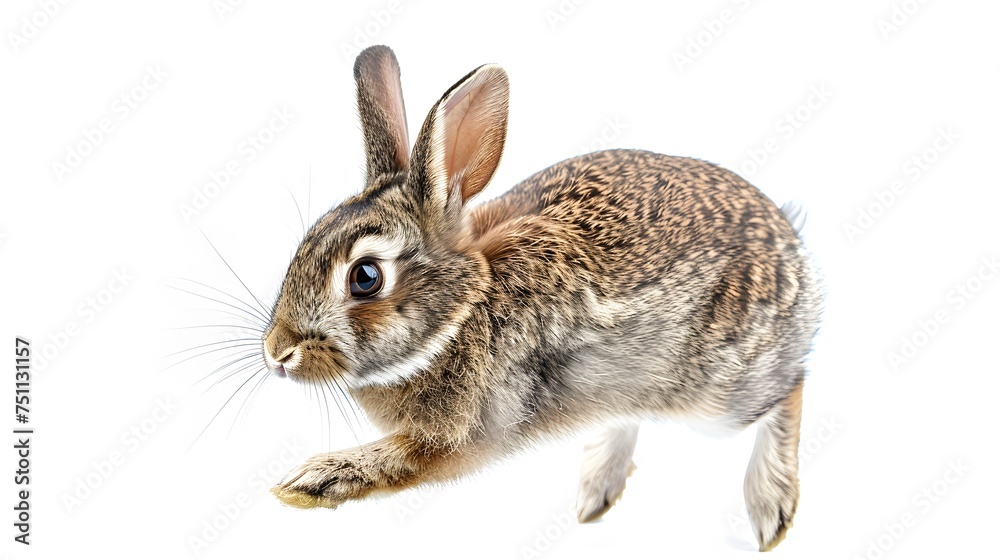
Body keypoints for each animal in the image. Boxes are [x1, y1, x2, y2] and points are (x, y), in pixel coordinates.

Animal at [264, 44, 820, 552]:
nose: (277, 353)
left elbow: (401, 460)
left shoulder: (458, 435)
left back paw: (771, 507)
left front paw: (310, 481)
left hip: (718, 393)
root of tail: (792, 247)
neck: (463, 313)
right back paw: (598, 485)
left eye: (365, 277)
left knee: (791, 387)